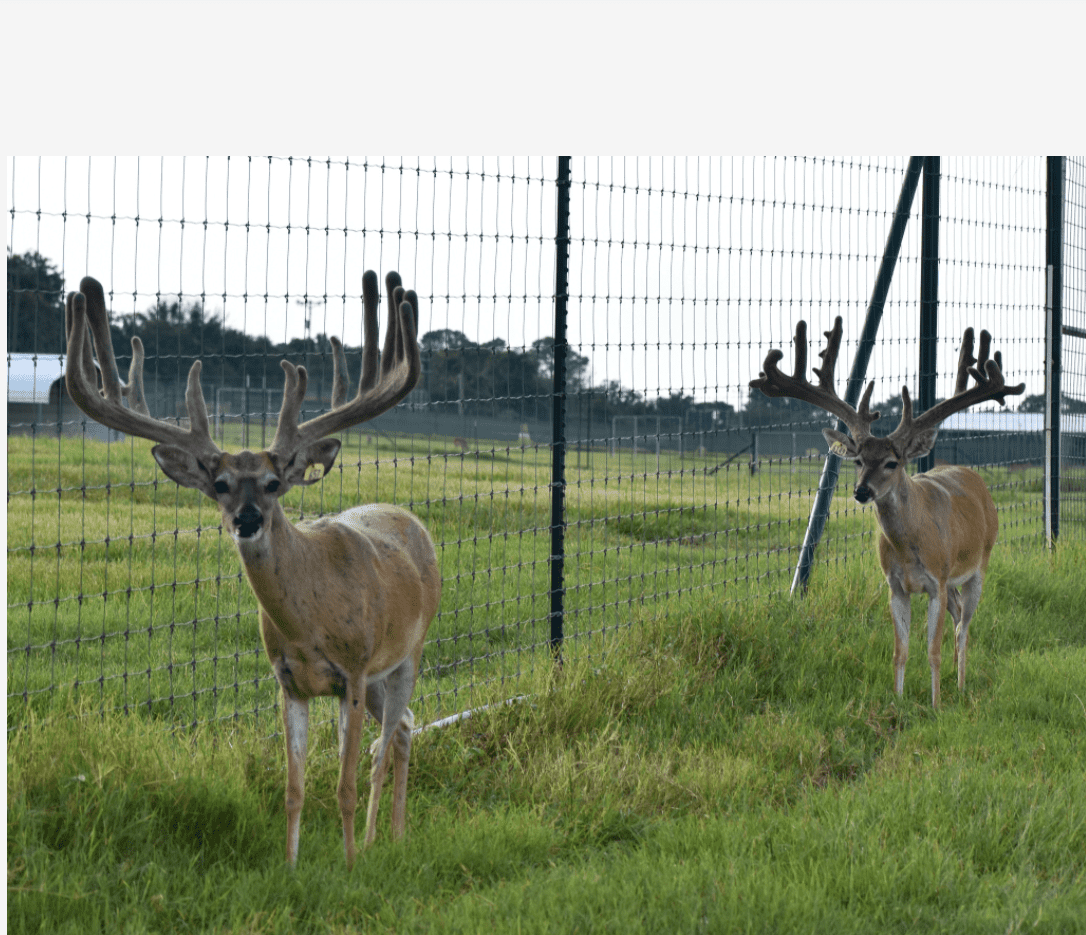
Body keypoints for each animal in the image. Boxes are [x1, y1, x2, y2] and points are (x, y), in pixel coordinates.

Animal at [64, 271, 442, 867]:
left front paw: (348, 864)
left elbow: (344, 785)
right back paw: (398, 835)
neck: (309, 622)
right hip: (384, 677)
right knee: (403, 728)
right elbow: (293, 787)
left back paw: (377, 840)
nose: (246, 519)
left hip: (407, 652)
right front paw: (290, 867)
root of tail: (411, 519)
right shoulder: (287, 680)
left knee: (387, 743)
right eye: (219, 483)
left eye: (272, 482)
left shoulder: (354, 671)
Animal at [750, 318, 1024, 707]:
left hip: (980, 563)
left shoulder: (937, 581)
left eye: (892, 462)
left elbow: (932, 650)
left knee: (963, 626)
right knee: (958, 616)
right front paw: (897, 702)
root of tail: (972, 476)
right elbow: (900, 651)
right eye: (859, 460)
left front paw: (935, 706)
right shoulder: (896, 587)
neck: (911, 547)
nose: (861, 491)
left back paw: (960, 686)